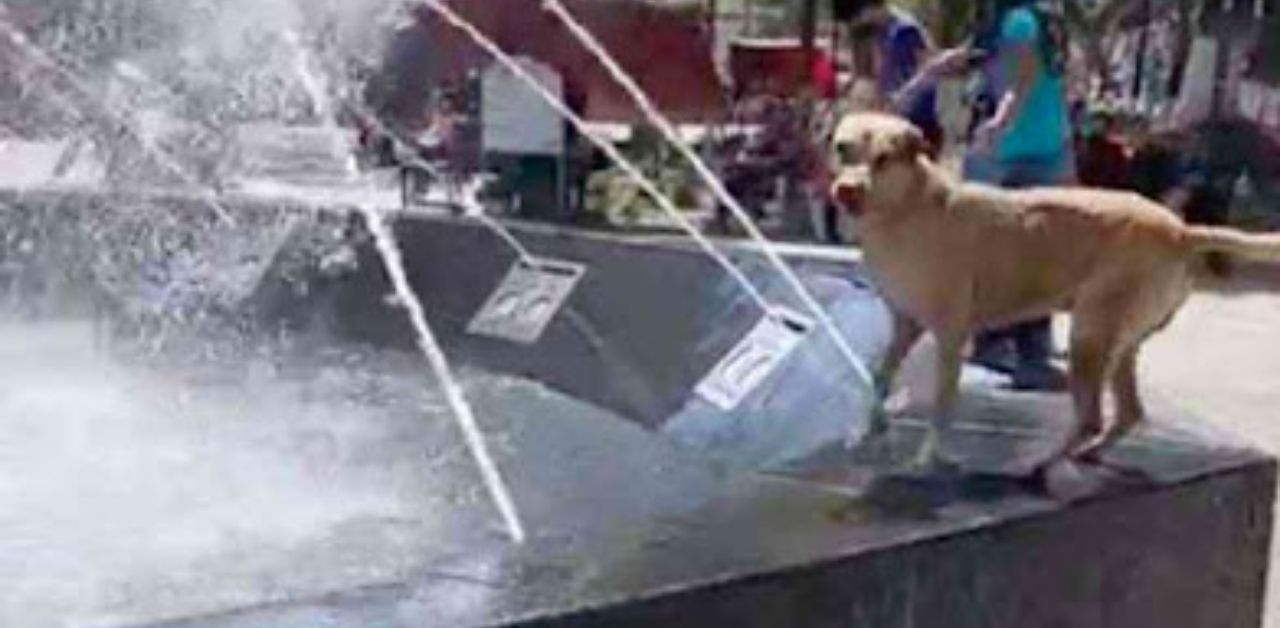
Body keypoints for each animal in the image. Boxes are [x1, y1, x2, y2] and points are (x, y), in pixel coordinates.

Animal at [829, 111, 1280, 470]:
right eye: (842, 149)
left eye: (884, 159)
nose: (846, 190)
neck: (907, 207)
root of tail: (1181, 230)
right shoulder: (905, 326)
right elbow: (879, 376)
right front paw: (869, 431)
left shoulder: (950, 335)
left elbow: (942, 404)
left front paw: (927, 459)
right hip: (1119, 344)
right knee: (1128, 413)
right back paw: (1086, 454)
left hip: (1089, 336)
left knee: (1091, 417)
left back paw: (1043, 462)